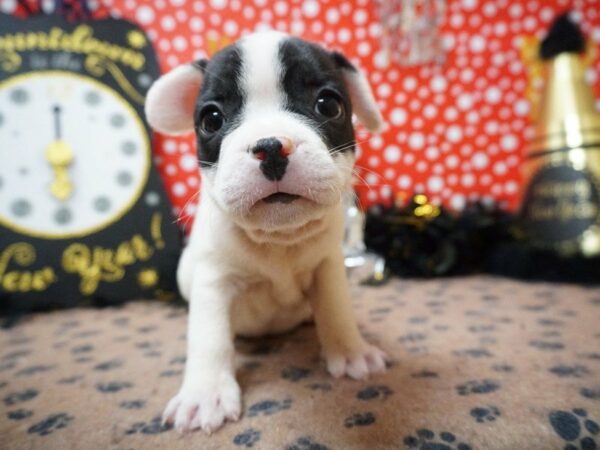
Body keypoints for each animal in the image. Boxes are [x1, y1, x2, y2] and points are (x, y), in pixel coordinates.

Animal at [148, 30, 386, 432]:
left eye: (328, 105)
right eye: (211, 119)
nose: (271, 146)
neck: (278, 238)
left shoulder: (328, 267)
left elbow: (336, 307)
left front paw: (351, 351)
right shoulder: (213, 280)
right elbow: (209, 336)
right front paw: (205, 394)